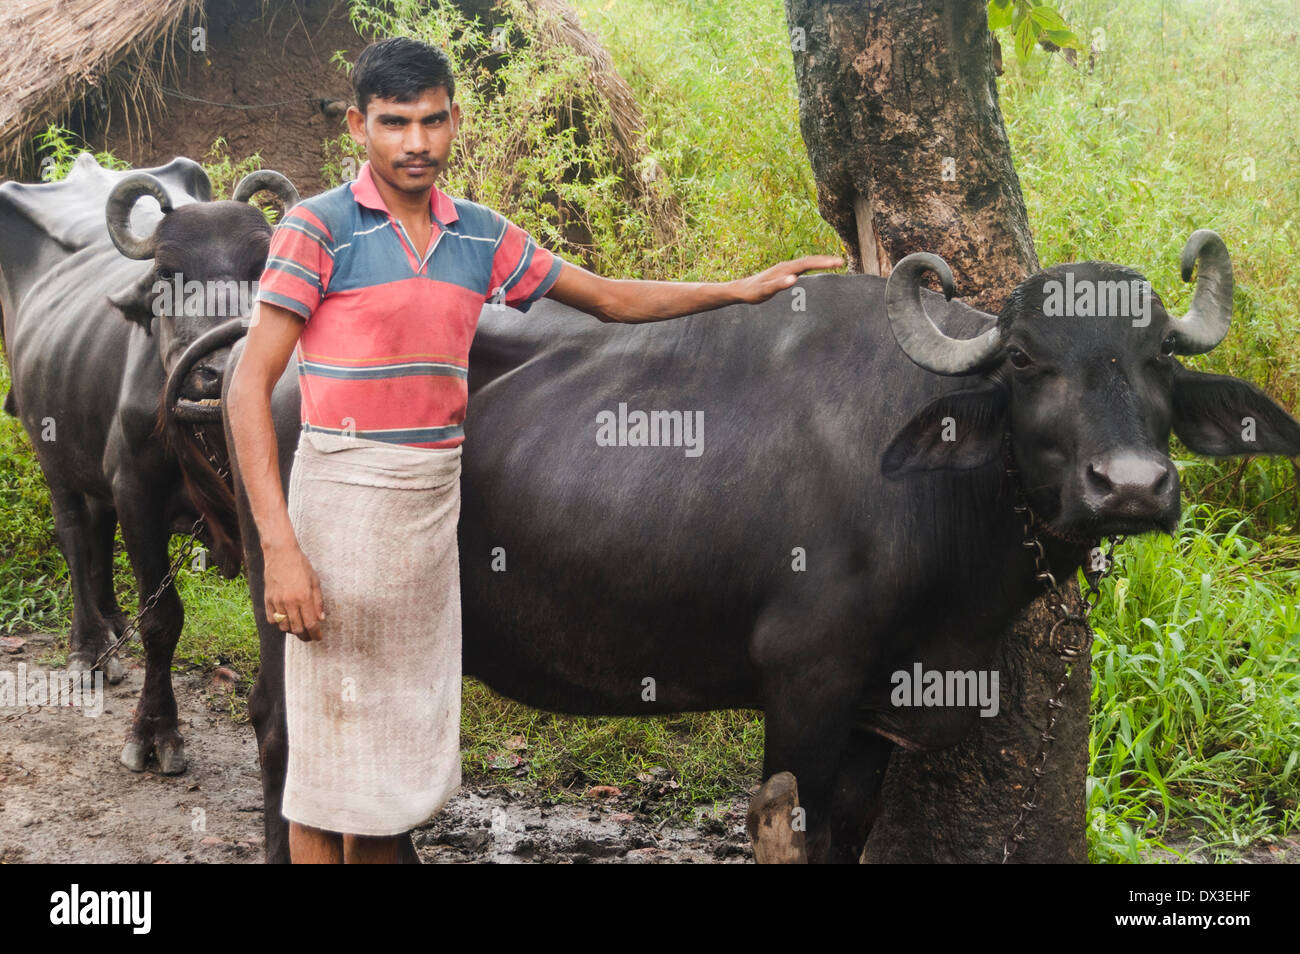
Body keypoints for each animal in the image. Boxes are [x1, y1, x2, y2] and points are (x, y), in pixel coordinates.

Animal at [0, 155, 297, 779]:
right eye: (166, 274)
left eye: (262, 267)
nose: (216, 373)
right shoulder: (138, 492)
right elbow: (162, 620)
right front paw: (156, 732)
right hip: (54, 460)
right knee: (75, 537)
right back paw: (89, 650)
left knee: (97, 530)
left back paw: (114, 628)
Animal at [178, 227, 1294, 863]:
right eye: (1024, 359)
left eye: (1156, 357)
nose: (1131, 487)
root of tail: (270, 357)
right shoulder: (804, 689)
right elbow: (791, 826)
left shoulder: (875, 717)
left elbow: (849, 834)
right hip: (294, 609)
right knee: (284, 743)